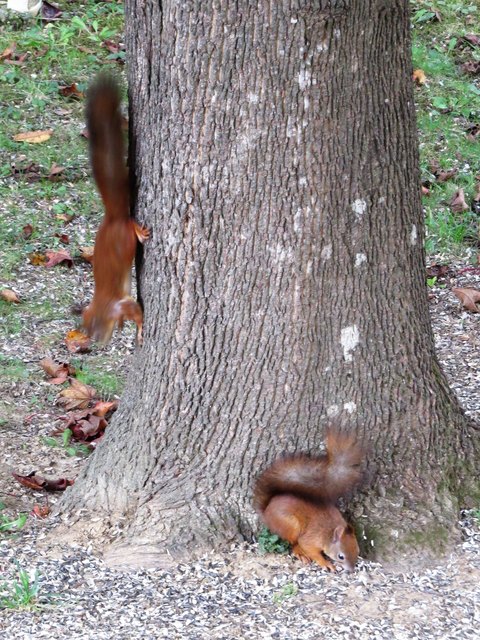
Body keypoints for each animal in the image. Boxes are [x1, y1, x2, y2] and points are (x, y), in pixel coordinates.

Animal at [253, 430, 362, 576]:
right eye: (341, 556)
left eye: (357, 550)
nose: (351, 570)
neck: (328, 533)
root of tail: (266, 511)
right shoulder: (312, 539)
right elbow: (310, 549)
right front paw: (325, 563)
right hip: (291, 525)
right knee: (294, 543)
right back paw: (300, 553)